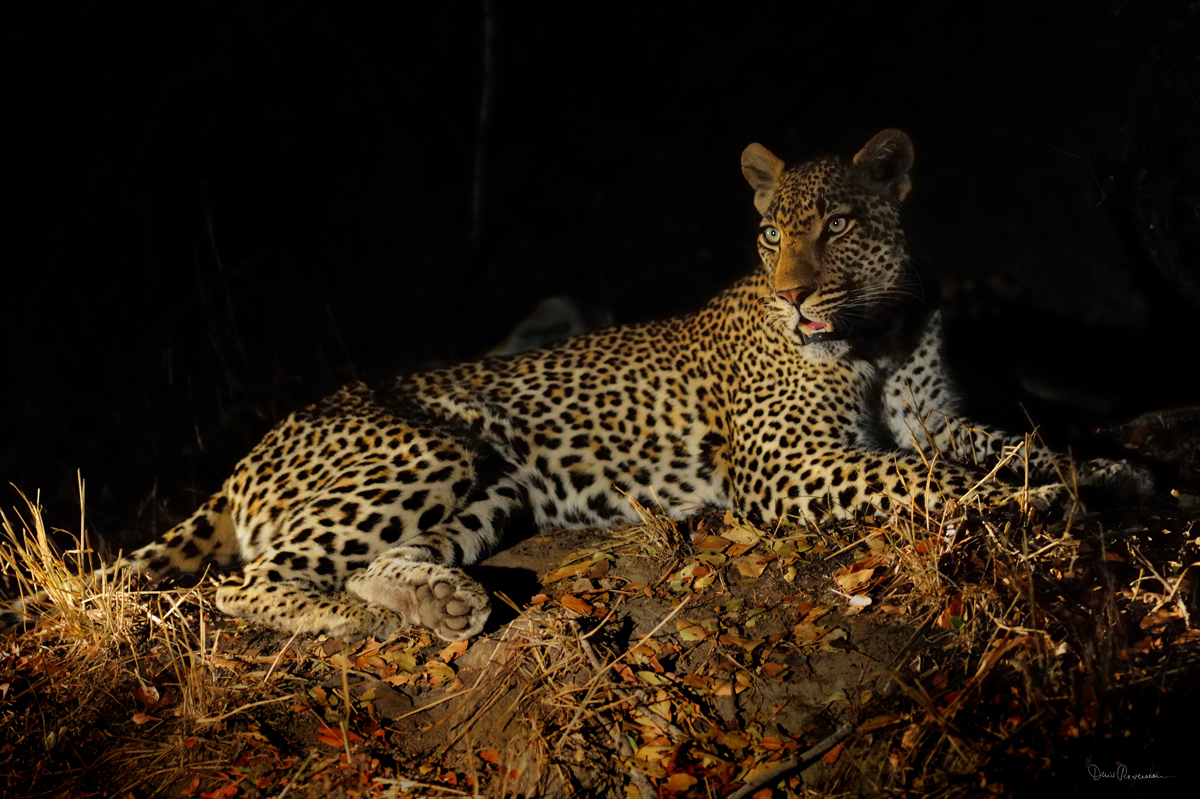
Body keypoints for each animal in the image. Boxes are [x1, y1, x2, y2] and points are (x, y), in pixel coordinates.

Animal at [2, 130, 1152, 643]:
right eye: (770, 233)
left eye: (836, 225)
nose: (793, 297)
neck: (875, 331)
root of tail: (257, 445)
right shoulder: (787, 467)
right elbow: (928, 484)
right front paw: (1035, 503)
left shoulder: (938, 418)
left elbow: (1004, 440)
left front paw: (1103, 468)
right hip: (428, 447)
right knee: (242, 585)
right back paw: (344, 622)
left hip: (496, 485)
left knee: (373, 560)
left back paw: (443, 601)